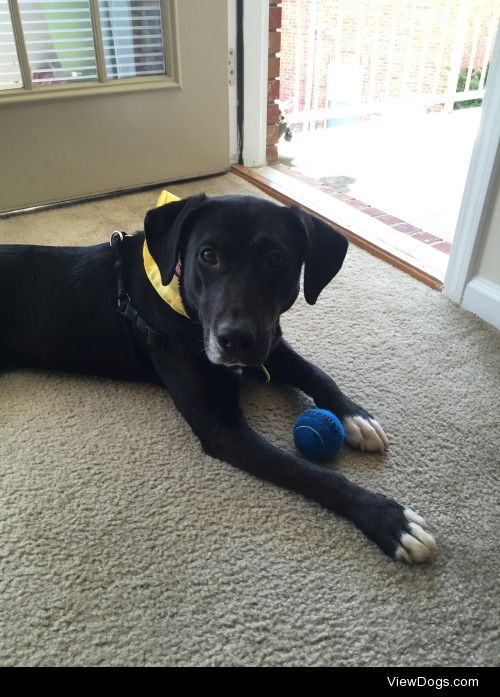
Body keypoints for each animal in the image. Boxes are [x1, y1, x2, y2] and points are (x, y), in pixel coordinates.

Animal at [0, 194, 438, 560]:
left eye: (276, 259)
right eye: (207, 255)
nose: (235, 339)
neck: (181, 302)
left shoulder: (270, 343)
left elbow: (317, 374)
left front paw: (355, 416)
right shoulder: (224, 429)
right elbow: (312, 473)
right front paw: (388, 519)